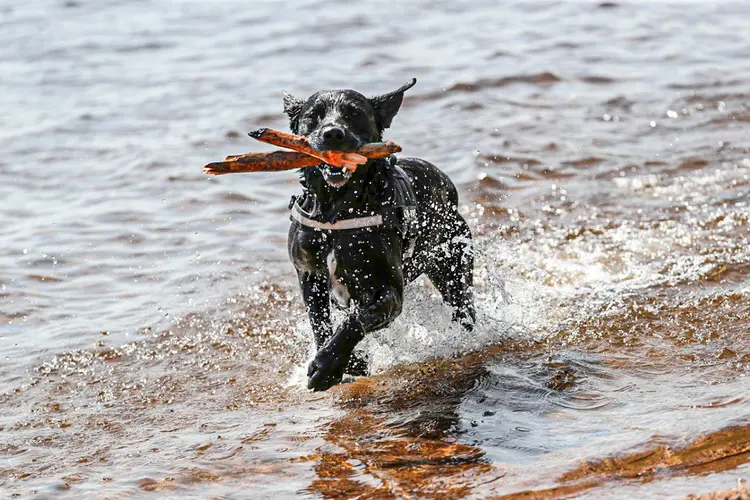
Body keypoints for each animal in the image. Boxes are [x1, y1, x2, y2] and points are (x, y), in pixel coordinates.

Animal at [284, 78, 476, 390]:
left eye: (353, 114)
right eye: (314, 115)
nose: (333, 133)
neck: (337, 209)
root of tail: (447, 183)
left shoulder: (390, 290)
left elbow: (357, 319)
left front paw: (328, 366)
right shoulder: (308, 275)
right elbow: (319, 322)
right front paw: (350, 361)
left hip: (453, 264)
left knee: (464, 308)